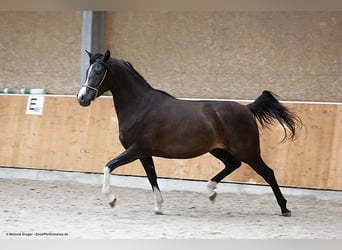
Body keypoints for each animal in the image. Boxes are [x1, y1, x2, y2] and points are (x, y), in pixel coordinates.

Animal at [77, 49, 302, 216]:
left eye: (99, 71)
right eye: (88, 70)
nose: (82, 98)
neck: (141, 106)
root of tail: (246, 109)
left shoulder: (136, 150)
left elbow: (108, 166)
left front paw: (111, 199)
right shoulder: (144, 153)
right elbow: (152, 177)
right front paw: (158, 207)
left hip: (248, 151)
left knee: (268, 173)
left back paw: (284, 208)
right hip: (218, 149)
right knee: (233, 164)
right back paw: (211, 192)